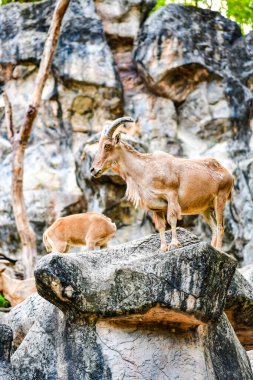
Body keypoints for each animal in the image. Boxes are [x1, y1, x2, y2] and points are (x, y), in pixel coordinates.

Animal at [90, 116, 234, 252]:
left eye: (107, 145)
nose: (93, 170)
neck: (146, 169)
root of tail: (227, 173)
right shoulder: (156, 208)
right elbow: (160, 226)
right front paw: (162, 248)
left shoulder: (171, 195)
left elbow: (172, 219)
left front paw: (174, 245)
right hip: (206, 209)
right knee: (214, 228)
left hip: (220, 199)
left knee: (220, 227)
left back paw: (219, 250)